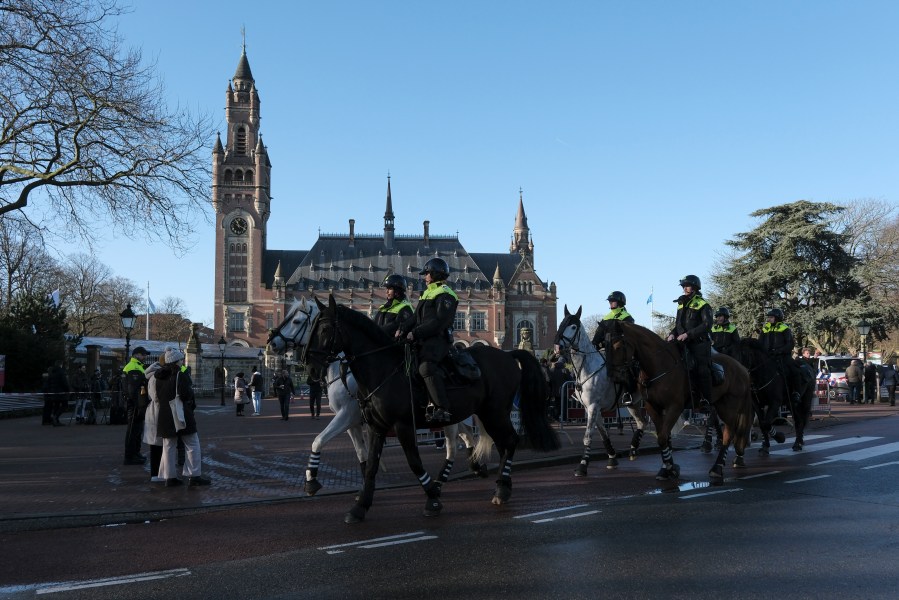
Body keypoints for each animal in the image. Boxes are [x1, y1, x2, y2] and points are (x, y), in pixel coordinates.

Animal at [266, 296, 486, 496]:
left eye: (296, 321)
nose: (272, 342)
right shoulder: (353, 423)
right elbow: (362, 455)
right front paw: (365, 485)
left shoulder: (347, 416)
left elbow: (318, 440)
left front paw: (311, 481)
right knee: (467, 435)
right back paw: (476, 466)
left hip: (448, 417)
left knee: (454, 445)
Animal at [306, 298, 560, 524]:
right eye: (311, 327)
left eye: (325, 328)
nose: (310, 367)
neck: (383, 370)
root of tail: (507, 354)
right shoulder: (376, 426)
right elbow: (369, 466)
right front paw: (359, 507)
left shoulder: (401, 425)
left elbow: (414, 462)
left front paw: (433, 500)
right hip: (483, 414)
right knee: (498, 443)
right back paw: (498, 484)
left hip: (494, 413)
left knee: (508, 441)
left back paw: (498, 489)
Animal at [556, 308, 648, 476]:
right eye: (561, 323)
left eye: (573, 326)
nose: (557, 348)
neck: (587, 368)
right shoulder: (591, 408)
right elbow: (603, 432)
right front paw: (612, 458)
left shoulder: (593, 406)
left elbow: (588, 436)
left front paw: (583, 465)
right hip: (633, 404)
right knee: (641, 422)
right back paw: (633, 449)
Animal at [600, 322, 756, 480]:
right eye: (605, 345)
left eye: (618, 346)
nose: (613, 376)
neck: (659, 365)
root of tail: (742, 368)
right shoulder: (653, 408)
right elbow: (664, 437)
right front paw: (668, 468)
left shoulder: (674, 407)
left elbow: (663, 437)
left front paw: (670, 468)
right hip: (720, 405)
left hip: (729, 407)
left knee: (728, 434)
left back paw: (717, 468)